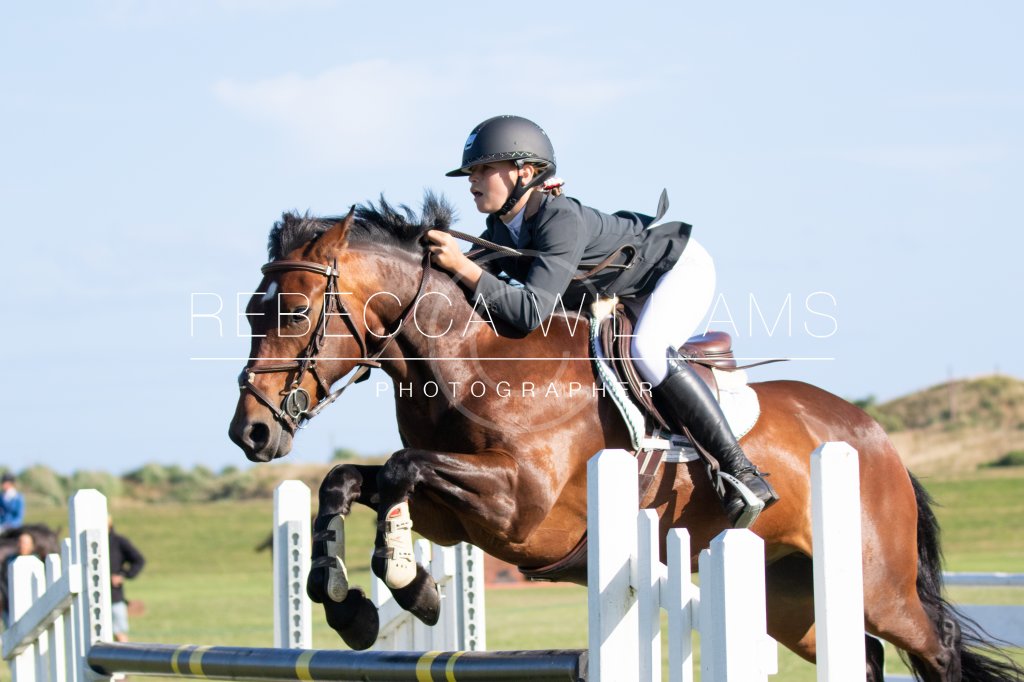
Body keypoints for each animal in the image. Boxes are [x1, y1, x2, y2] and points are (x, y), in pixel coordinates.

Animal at [228, 195, 1022, 681]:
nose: (251, 432)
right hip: (794, 599)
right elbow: (353, 480)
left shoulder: (519, 510)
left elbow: (398, 468)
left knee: (937, 650)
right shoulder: (456, 518)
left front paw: (404, 586)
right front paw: (357, 599)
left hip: (881, 586)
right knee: (860, 656)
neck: (474, 357)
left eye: (294, 310)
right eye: (250, 312)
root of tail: (873, 438)